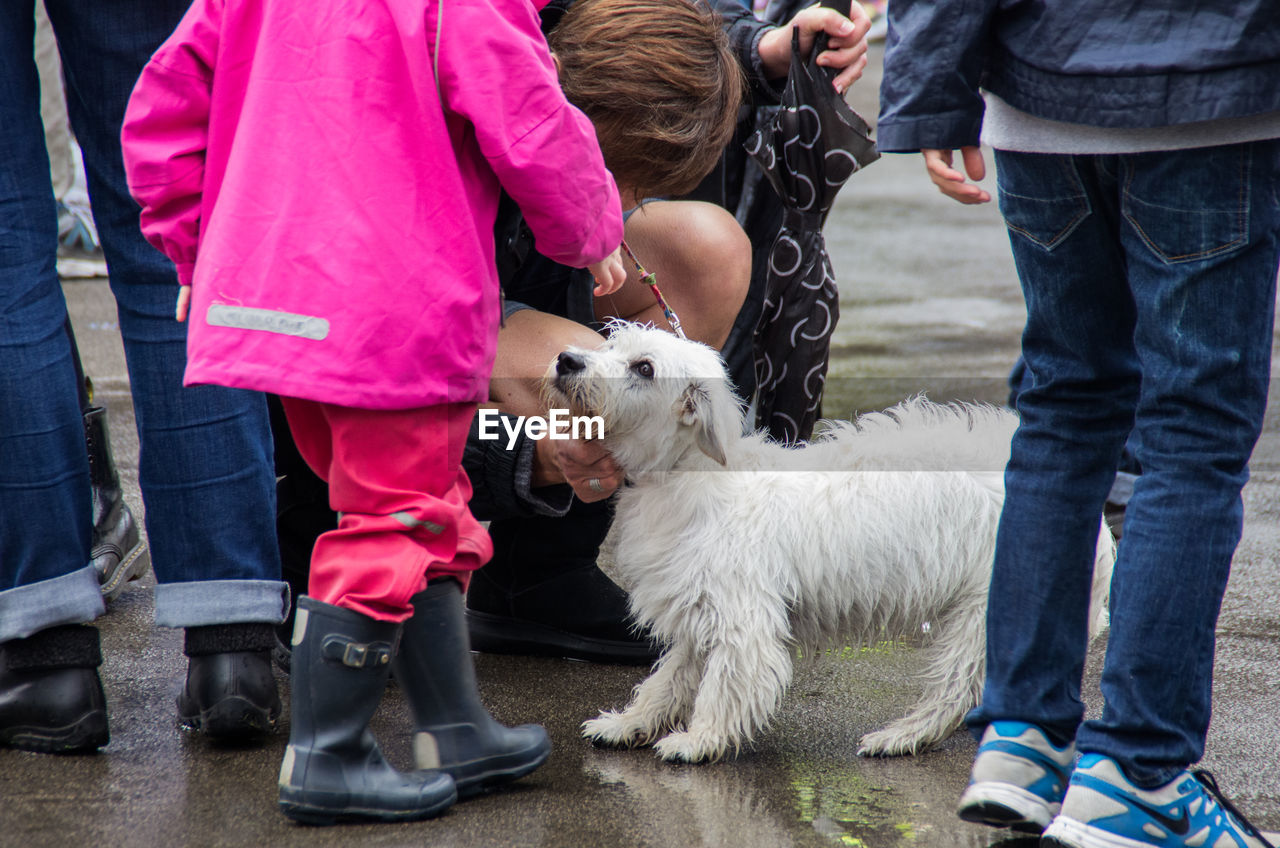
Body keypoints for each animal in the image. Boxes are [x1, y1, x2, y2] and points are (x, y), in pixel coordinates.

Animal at [545, 324, 1116, 763]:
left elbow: (724, 687)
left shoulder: (743, 623)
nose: (567, 359)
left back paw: (901, 737)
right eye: (611, 343)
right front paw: (630, 724)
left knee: (956, 689)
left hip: (985, 613)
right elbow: (669, 680)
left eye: (644, 368)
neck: (691, 477)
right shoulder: (698, 612)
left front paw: (698, 740)